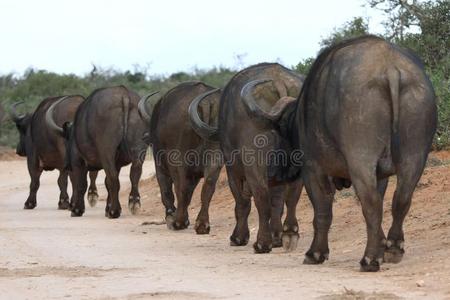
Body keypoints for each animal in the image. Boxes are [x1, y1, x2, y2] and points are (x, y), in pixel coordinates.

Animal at [46, 85, 150, 217]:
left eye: (67, 139)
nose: (66, 164)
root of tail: (124, 96)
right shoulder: (118, 163)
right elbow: (106, 183)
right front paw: (107, 208)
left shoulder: (78, 160)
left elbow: (81, 184)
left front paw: (77, 210)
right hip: (139, 149)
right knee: (134, 174)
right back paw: (133, 204)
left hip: (107, 151)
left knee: (113, 178)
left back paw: (114, 211)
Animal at [137, 82, 221, 234]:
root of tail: (206, 102)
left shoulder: (160, 165)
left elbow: (166, 190)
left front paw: (171, 216)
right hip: (215, 155)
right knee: (209, 184)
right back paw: (202, 224)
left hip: (179, 160)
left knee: (180, 188)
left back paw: (178, 221)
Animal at [190, 63, 306, 253]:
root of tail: (278, 81)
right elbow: (278, 203)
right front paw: (276, 237)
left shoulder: (233, 171)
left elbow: (242, 203)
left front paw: (238, 237)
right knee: (291, 198)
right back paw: (289, 234)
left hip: (254, 164)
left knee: (261, 198)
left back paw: (262, 243)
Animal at [246, 35, 436, 272]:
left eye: (281, 132)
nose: (273, 172)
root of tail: (390, 68)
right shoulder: (381, 174)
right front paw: (382, 245)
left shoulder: (313, 169)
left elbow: (322, 211)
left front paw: (316, 253)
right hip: (415, 157)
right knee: (400, 200)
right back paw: (393, 249)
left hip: (360, 159)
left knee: (371, 203)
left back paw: (369, 259)